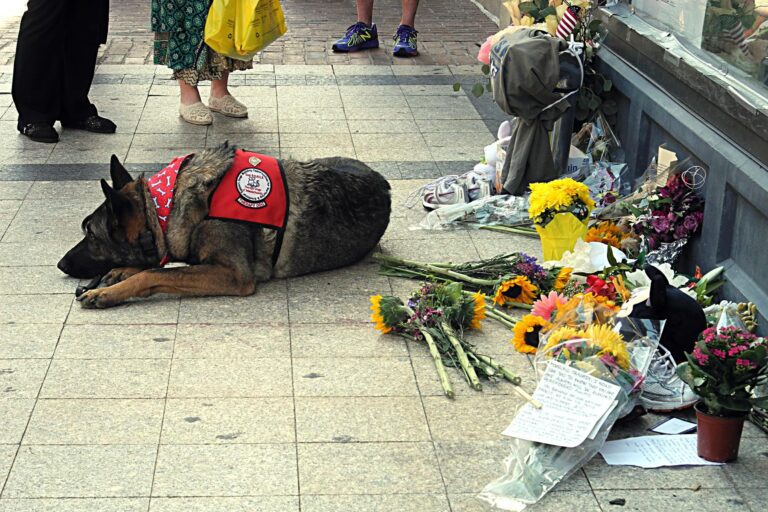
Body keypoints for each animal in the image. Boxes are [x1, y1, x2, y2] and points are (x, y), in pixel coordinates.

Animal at [58, 141, 390, 308]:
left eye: (91, 233)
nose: (60, 264)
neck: (168, 204)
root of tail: (384, 183)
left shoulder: (233, 274)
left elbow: (155, 272)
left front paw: (106, 292)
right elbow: (155, 266)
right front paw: (121, 271)